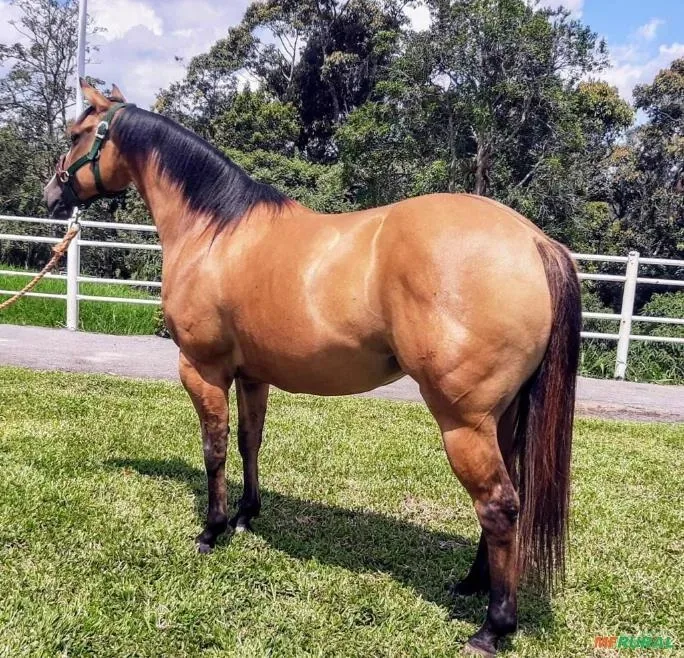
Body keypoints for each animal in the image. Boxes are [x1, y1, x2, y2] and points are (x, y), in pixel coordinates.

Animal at [44, 79, 581, 657]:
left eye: (75, 135)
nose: (51, 197)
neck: (216, 231)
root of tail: (534, 240)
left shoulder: (203, 369)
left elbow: (214, 447)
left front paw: (212, 530)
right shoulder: (252, 374)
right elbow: (249, 442)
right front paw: (246, 515)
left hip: (463, 422)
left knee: (498, 504)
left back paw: (492, 627)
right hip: (500, 419)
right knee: (506, 498)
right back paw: (472, 583)